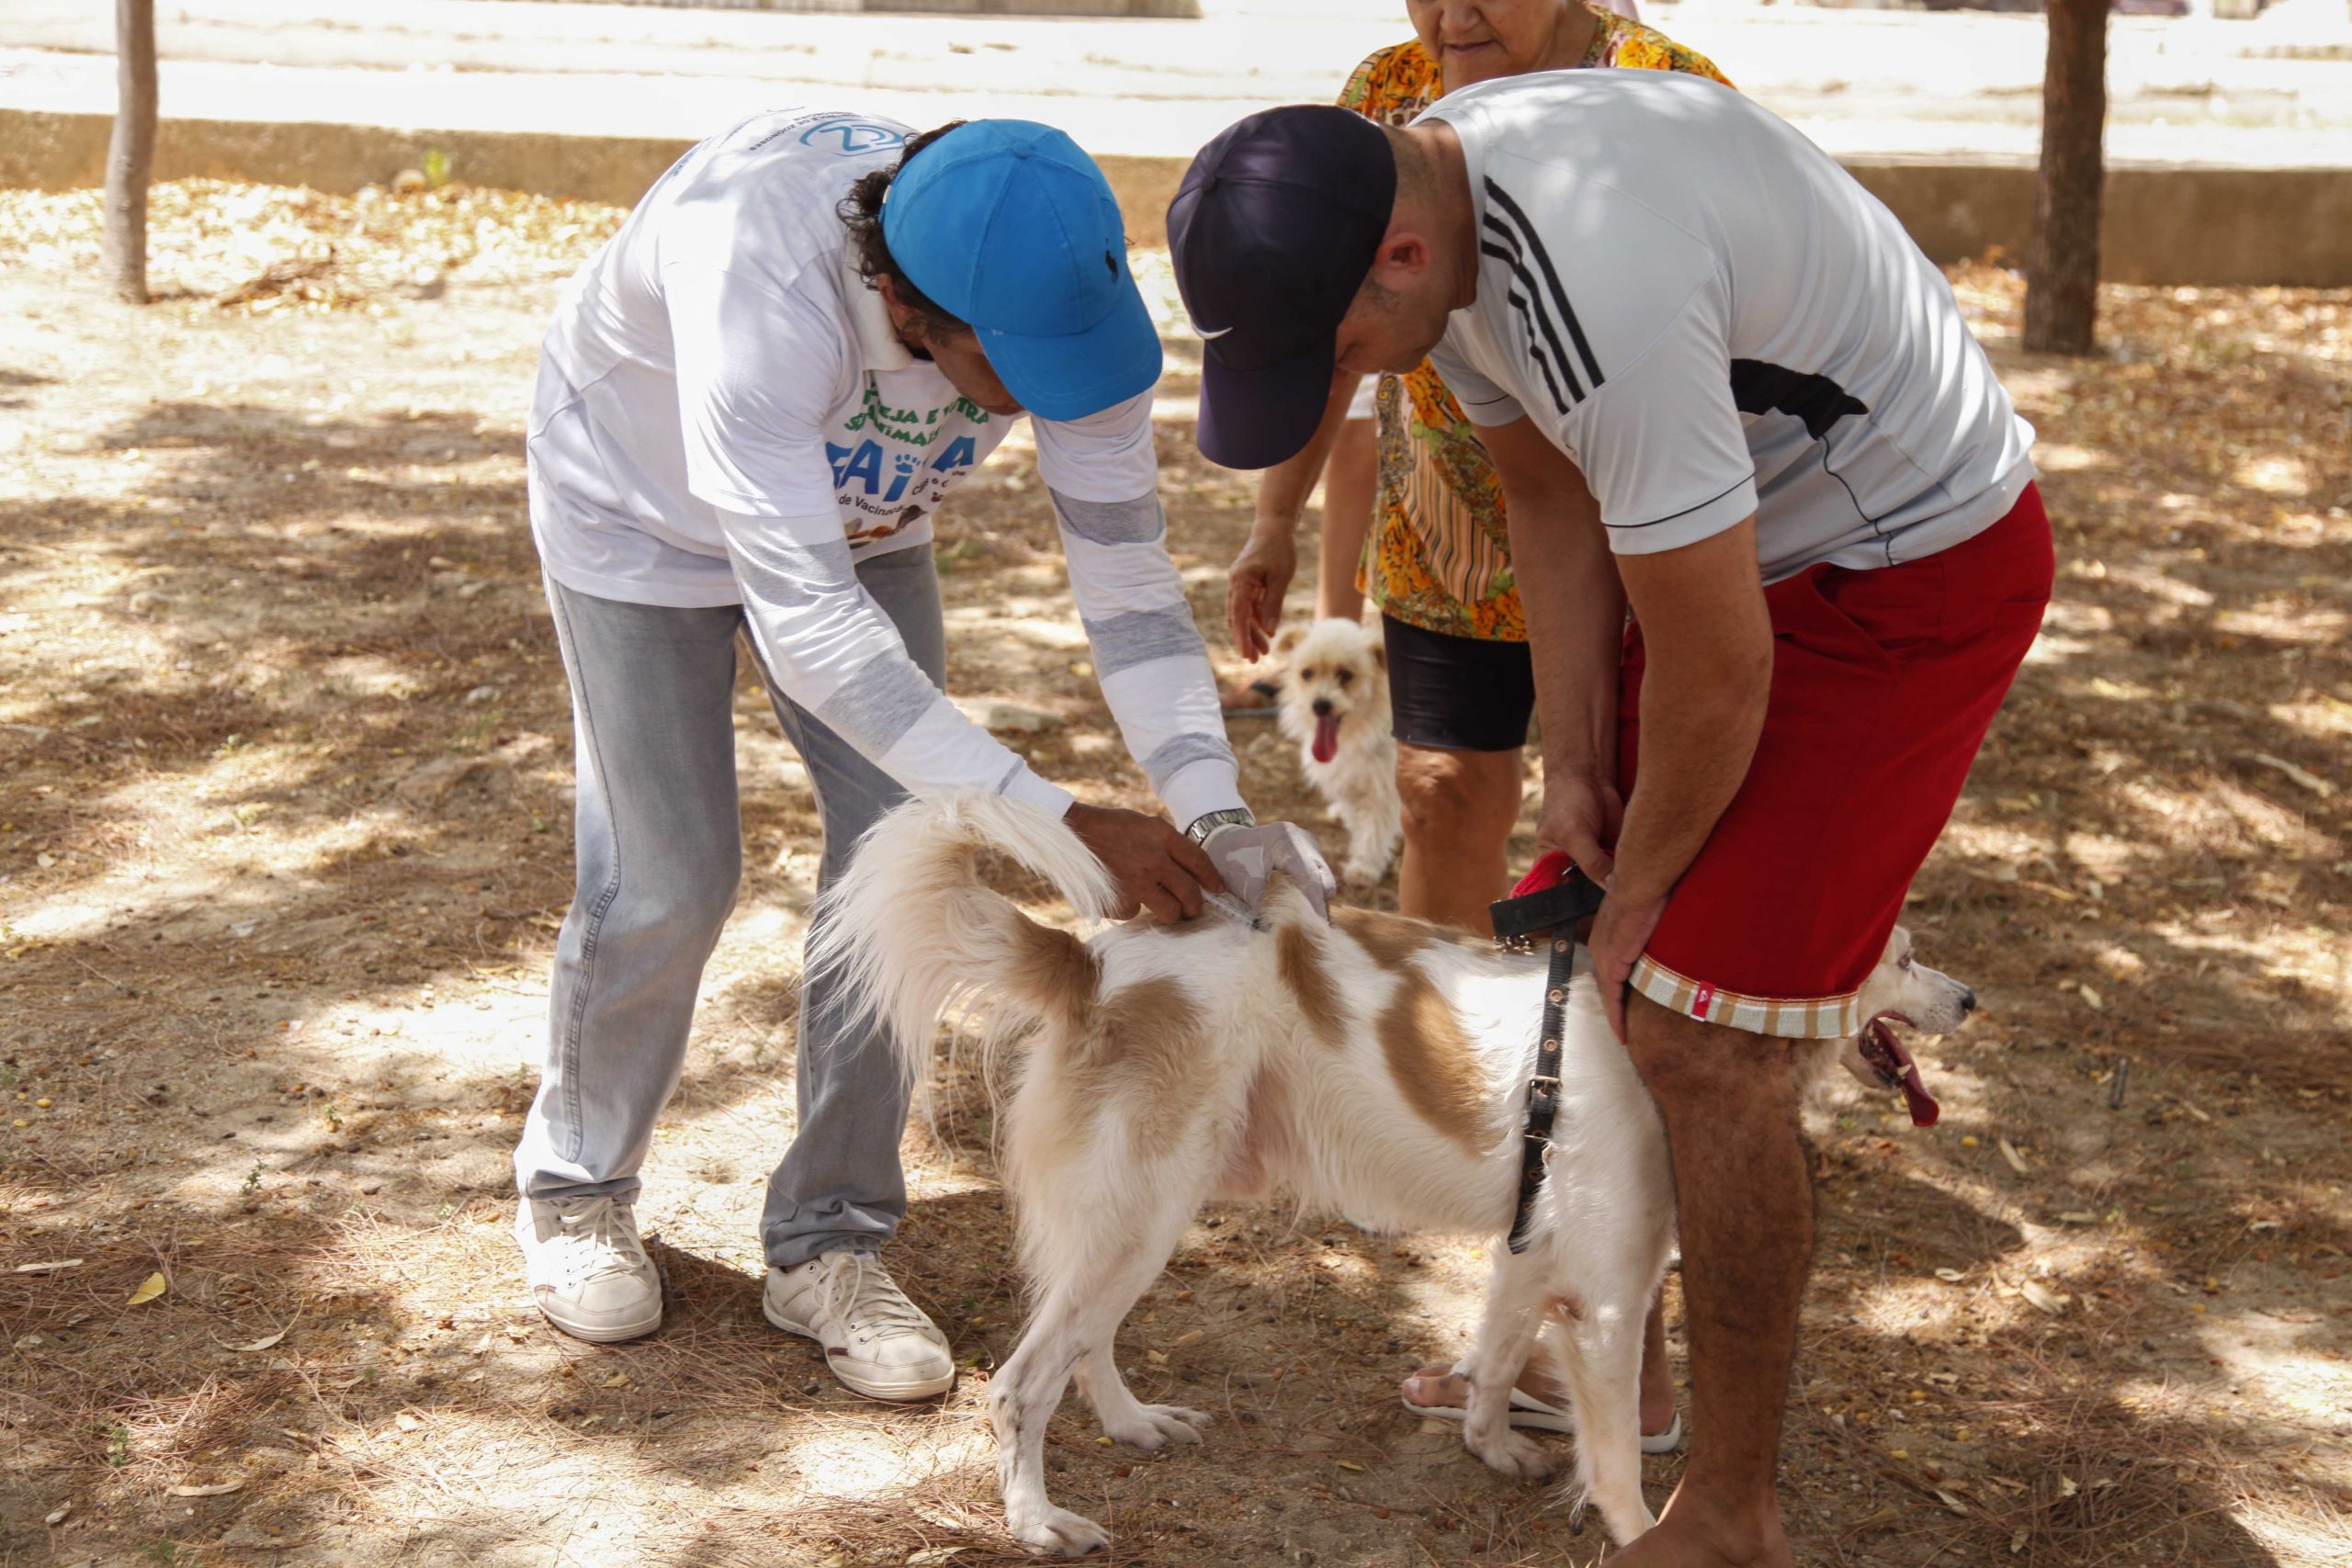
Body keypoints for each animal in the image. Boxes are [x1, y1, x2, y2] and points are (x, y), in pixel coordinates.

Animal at [818, 799, 1975, 1561]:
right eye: (1904, 955)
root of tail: (1093, 959)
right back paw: (1034, 1522)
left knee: (1083, 1343)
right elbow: (1615, 1460)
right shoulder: (1607, 1304)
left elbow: (1496, 1362)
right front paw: (1638, 1532)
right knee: (1021, 1384)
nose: (1970, 999)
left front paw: (1490, 1446)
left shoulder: (1528, 1260)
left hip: (1146, 1215)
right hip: (1139, 1214)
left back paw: (1134, 1424)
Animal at [1270, 620, 1392, 888]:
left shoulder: (1383, 788)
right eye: (1307, 674)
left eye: (1346, 675)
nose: (1320, 705)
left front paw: (1365, 866)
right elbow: (1358, 819)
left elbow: (1373, 829)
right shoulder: (1346, 777)